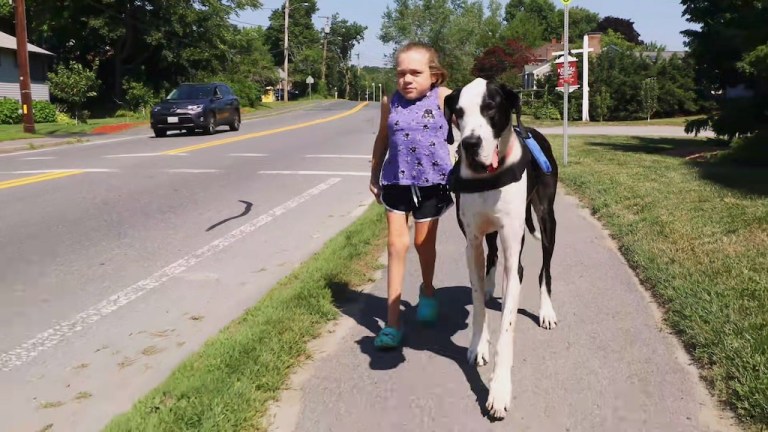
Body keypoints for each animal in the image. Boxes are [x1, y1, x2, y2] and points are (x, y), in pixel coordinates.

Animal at [444, 77, 560, 418]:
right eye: (458, 113)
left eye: (490, 108)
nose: (470, 145)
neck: (489, 176)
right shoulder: (471, 243)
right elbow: (477, 299)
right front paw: (477, 344)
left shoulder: (513, 244)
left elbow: (507, 328)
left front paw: (498, 390)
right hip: (493, 233)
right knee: (494, 258)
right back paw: (492, 286)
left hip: (546, 221)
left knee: (543, 270)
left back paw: (546, 310)